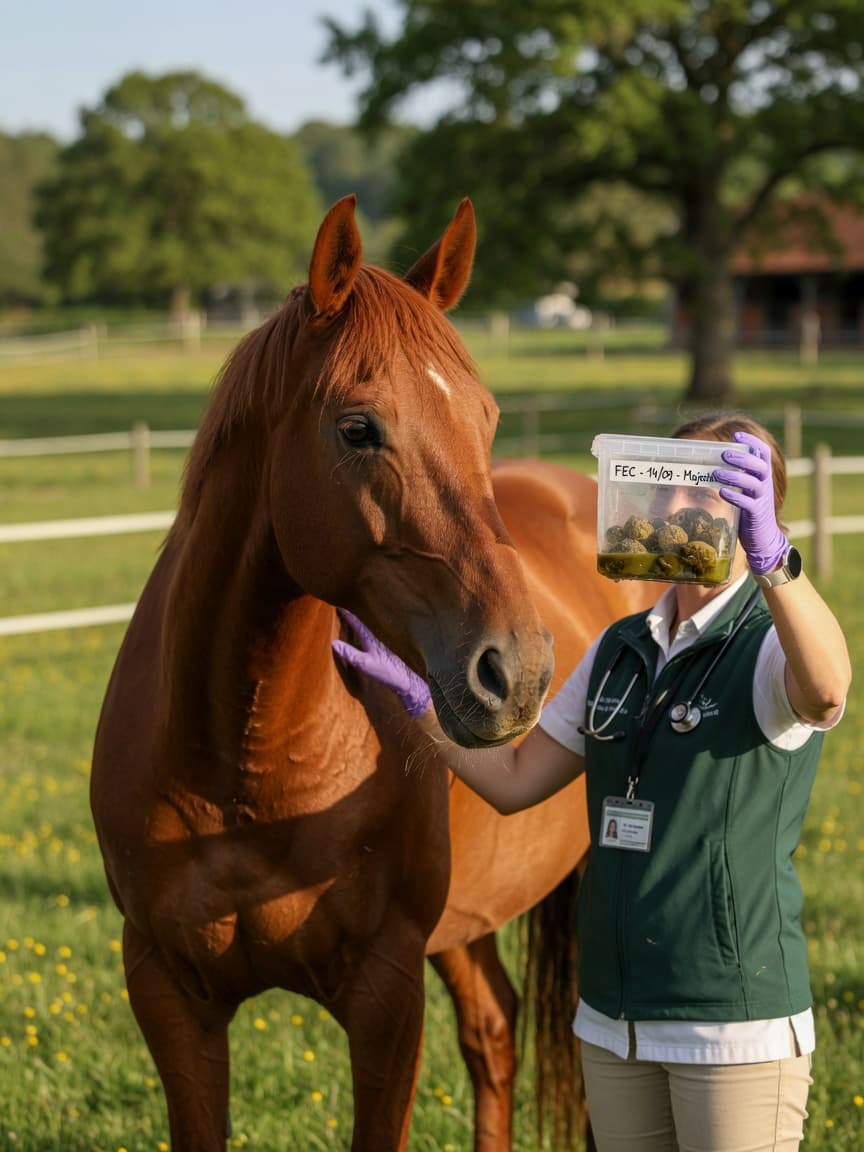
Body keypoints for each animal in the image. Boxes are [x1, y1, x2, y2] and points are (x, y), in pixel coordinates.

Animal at [90, 194, 654, 1151]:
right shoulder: (167, 995)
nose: (520, 670)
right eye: (359, 428)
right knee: (493, 1031)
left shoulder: (386, 997)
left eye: (486, 418)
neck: (241, 768)